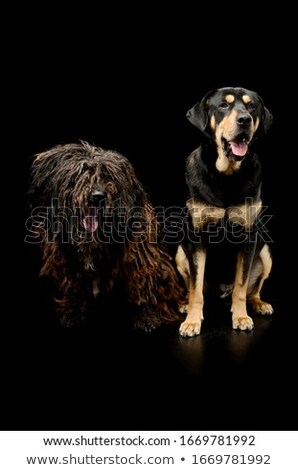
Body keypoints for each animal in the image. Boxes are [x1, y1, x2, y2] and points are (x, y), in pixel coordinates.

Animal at [176, 87, 274, 338]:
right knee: (194, 287)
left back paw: (258, 304)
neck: (226, 177)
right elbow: (196, 289)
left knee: (251, 290)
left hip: (265, 254)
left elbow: (240, 286)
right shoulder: (197, 238)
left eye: (251, 107)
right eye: (224, 106)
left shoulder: (249, 238)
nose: (244, 120)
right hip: (180, 253)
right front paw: (192, 321)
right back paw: (184, 303)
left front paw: (240, 317)